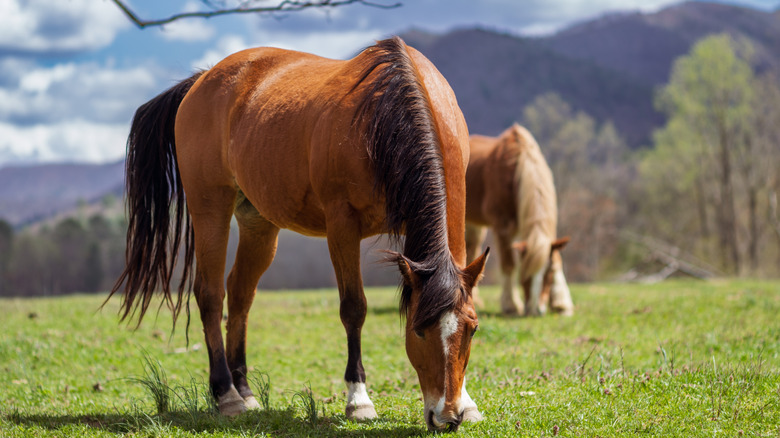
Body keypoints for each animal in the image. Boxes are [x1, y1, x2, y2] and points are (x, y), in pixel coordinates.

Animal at [107, 36, 489, 432]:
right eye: (417, 330)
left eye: (472, 330)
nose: (447, 417)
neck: (386, 115)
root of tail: (201, 80)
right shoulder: (342, 225)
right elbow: (354, 308)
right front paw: (358, 399)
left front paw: (468, 403)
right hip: (210, 207)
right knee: (210, 294)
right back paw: (227, 394)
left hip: (258, 222)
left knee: (240, 294)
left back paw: (245, 390)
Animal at [464, 124, 573, 317]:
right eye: (526, 273)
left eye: (549, 274)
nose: (537, 310)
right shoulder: (503, 226)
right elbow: (509, 265)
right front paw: (512, 305)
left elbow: (556, 257)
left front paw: (561, 302)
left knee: (472, 249)